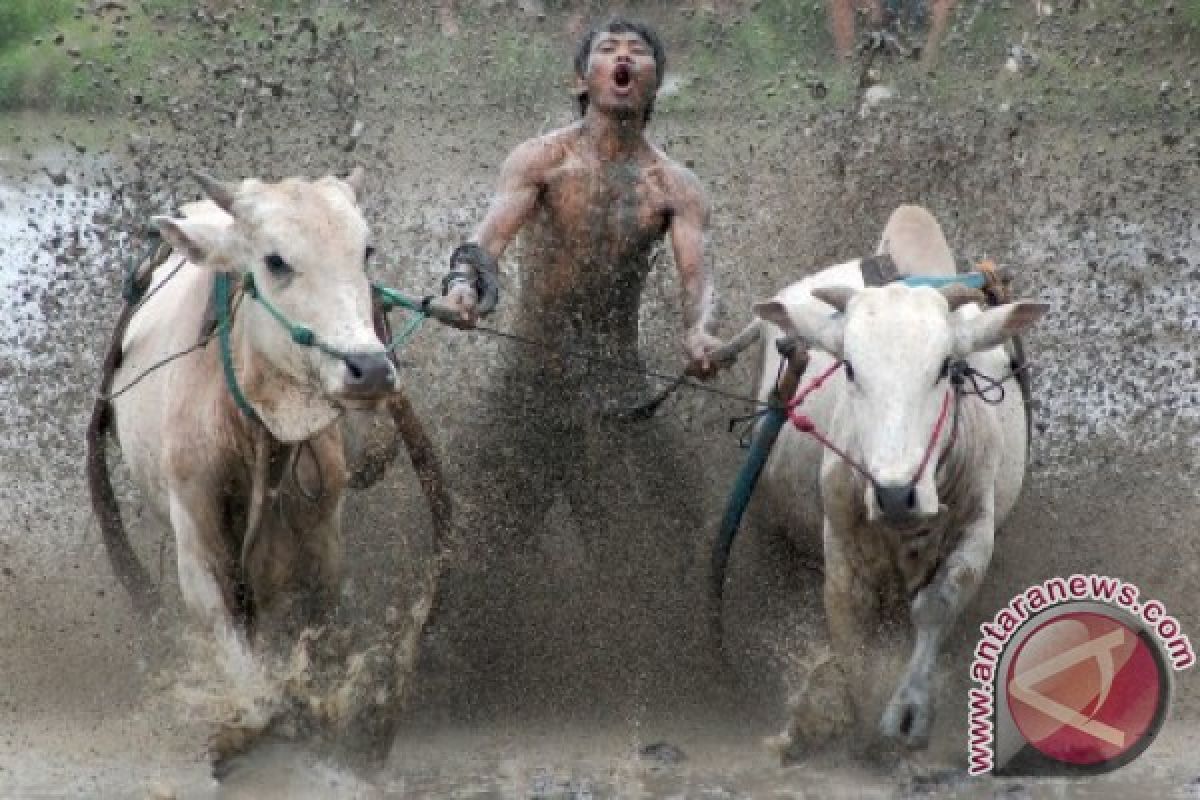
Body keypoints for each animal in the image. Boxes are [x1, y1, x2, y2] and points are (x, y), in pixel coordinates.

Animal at [111, 172, 393, 681]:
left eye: (365, 251)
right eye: (275, 261)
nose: (372, 369)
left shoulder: (322, 551)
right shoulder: (202, 559)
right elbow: (245, 670)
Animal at [753, 205, 1046, 758]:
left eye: (947, 368)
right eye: (849, 367)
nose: (894, 494)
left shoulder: (977, 527)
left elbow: (935, 606)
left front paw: (908, 714)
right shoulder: (840, 538)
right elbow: (849, 623)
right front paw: (852, 721)